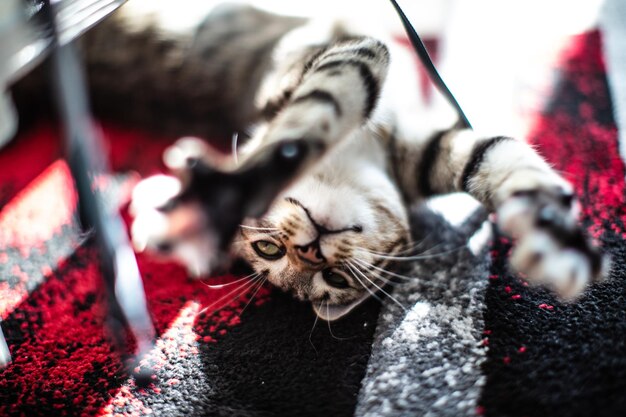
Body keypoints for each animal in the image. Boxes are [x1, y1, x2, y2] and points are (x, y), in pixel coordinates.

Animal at [66, 0, 608, 318]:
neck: (366, 151)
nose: (311, 250)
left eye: (332, 277)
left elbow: (498, 159)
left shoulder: (357, 67)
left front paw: (556, 232)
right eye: (271, 251)